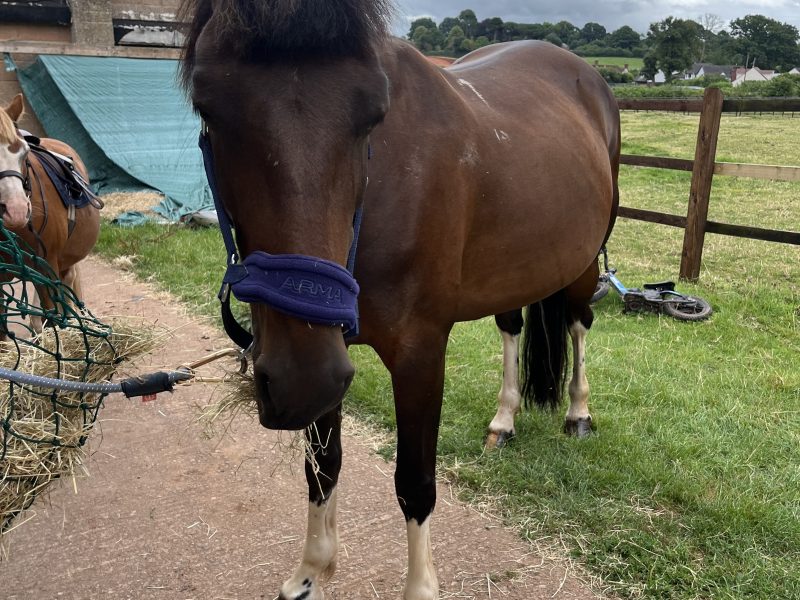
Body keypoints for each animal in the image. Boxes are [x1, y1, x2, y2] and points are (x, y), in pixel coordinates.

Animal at [179, 1, 620, 598]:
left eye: (372, 115)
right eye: (207, 106)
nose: (296, 384)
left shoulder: (419, 354)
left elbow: (415, 482)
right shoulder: (322, 354)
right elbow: (323, 463)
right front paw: (310, 573)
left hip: (581, 263)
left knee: (578, 323)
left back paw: (578, 413)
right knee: (511, 325)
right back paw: (503, 420)